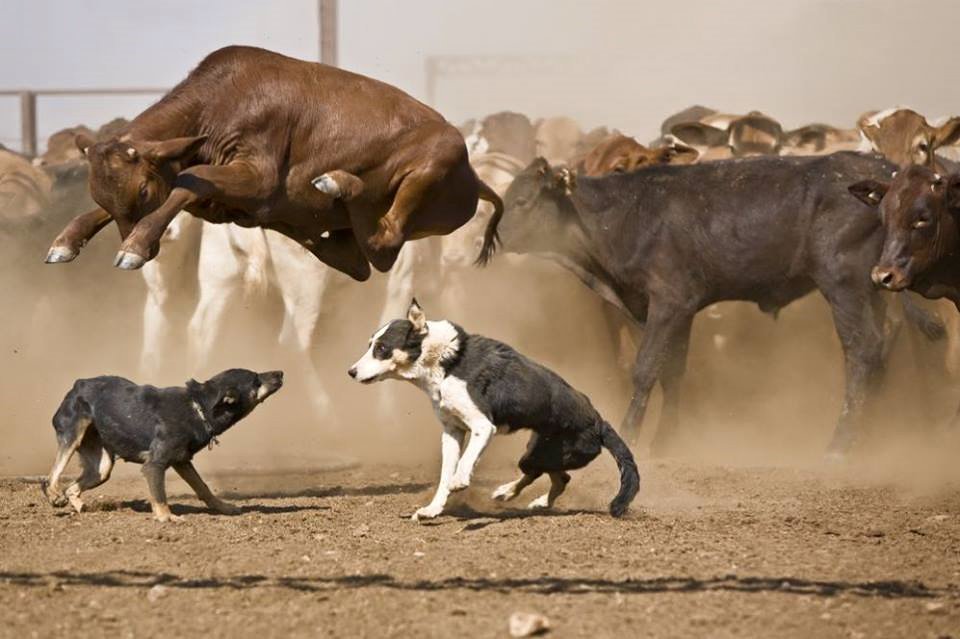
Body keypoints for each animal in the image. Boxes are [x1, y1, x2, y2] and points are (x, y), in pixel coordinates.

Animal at [42, 368, 282, 524]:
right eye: (255, 380)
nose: (280, 372)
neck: (199, 408)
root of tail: (79, 384)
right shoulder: (154, 465)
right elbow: (160, 494)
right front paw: (166, 517)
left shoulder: (182, 460)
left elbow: (203, 487)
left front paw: (223, 507)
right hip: (72, 434)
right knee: (52, 475)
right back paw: (54, 495)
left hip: (101, 468)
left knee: (72, 486)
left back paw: (80, 506)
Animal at [45, 46, 502, 282]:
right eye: (100, 193)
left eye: (142, 189)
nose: (149, 248)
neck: (218, 106)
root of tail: (474, 178)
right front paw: (65, 241)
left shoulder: (257, 175)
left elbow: (192, 179)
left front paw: (134, 246)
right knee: (356, 261)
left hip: (432, 165)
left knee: (384, 244)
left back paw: (338, 183)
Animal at [348, 300, 640, 520]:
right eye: (370, 345)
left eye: (382, 348)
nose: (351, 372)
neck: (448, 360)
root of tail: (600, 422)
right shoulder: (452, 432)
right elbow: (444, 474)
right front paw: (433, 509)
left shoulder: (482, 426)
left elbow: (464, 462)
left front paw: (460, 481)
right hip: (540, 450)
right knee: (559, 478)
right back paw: (519, 497)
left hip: (549, 454)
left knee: (547, 475)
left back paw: (511, 493)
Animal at [496, 152, 944, 458]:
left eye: (523, 201)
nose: (495, 236)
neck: (625, 216)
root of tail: (885, 171)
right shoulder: (681, 309)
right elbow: (672, 372)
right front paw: (666, 440)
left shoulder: (668, 301)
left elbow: (645, 369)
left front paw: (634, 435)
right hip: (871, 290)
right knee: (882, 347)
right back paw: (871, 441)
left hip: (843, 283)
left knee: (862, 350)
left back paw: (840, 444)